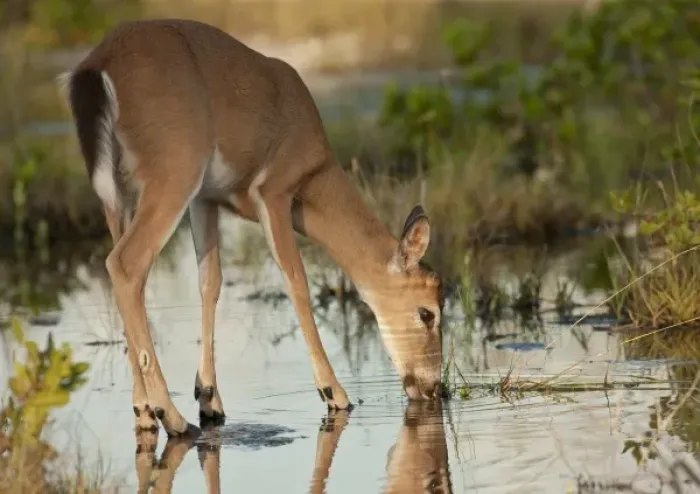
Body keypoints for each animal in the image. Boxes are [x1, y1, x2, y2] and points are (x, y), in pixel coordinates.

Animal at [59, 18, 445, 437]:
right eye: (428, 313)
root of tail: (95, 68)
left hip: (118, 197)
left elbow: (210, 282)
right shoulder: (272, 190)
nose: (432, 387)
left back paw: (145, 410)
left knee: (125, 274)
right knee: (125, 264)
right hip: (173, 173)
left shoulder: (206, 199)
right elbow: (296, 279)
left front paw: (209, 398)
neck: (314, 169)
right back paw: (172, 416)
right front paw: (335, 393)